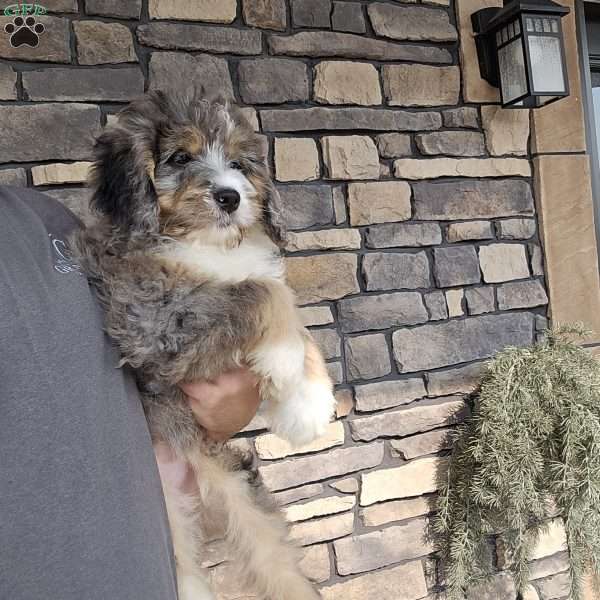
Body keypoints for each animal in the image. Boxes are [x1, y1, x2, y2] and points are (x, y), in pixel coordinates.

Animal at [72, 89, 336, 600]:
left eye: (238, 163)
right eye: (180, 158)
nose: (230, 196)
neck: (205, 245)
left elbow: (296, 314)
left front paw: (307, 405)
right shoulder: (154, 325)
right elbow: (264, 293)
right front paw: (287, 368)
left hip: (240, 492)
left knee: (276, 562)